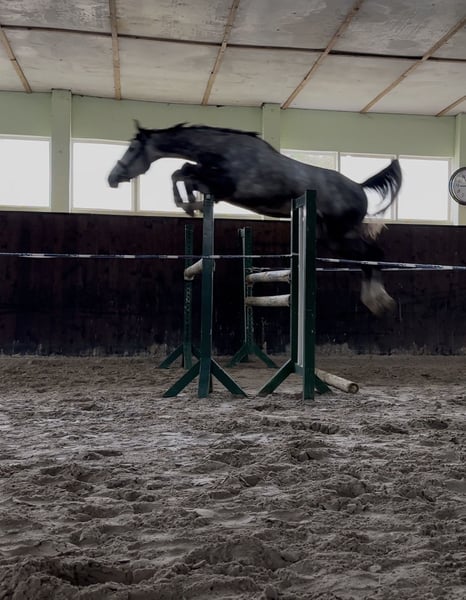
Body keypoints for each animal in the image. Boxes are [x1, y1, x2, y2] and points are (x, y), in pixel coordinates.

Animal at [108, 122, 402, 315]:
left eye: (132, 148)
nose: (112, 178)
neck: (223, 151)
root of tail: (359, 187)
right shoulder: (213, 181)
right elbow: (182, 171)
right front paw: (190, 205)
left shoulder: (224, 187)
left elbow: (185, 174)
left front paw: (190, 204)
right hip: (333, 238)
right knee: (367, 259)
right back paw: (376, 301)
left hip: (342, 233)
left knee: (374, 254)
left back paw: (380, 301)